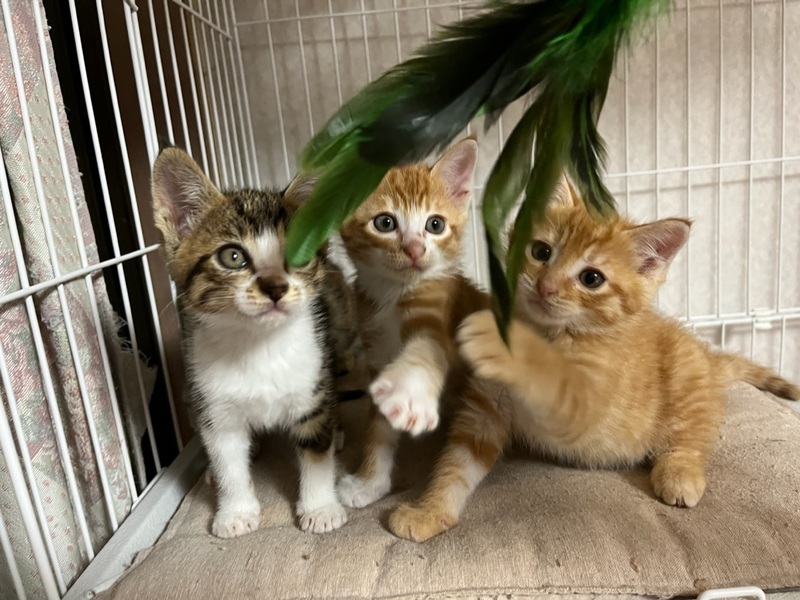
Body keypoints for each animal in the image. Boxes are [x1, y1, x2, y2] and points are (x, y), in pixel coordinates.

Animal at [151, 147, 358, 537]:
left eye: (299, 253)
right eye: (232, 256)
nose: (275, 287)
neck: (258, 345)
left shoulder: (311, 388)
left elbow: (316, 453)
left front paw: (321, 507)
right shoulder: (213, 403)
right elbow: (228, 460)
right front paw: (234, 512)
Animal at [334, 138, 490, 509]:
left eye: (435, 225)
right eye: (385, 223)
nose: (415, 250)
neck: (393, 294)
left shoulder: (437, 312)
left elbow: (426, 349)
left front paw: (410, 392)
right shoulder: (375, 353)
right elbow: (378, 428)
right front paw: (369, 483)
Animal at [387, 174, 800, 542]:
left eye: (592, 278)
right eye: (541, 252)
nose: (546, 286)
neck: (553, 334)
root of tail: (707, 357)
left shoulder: (585, 407)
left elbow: (551, 377)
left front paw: (503, 344)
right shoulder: (484, 410)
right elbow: (456, 462)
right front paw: (429, 510)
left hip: (687, 380)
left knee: (693, 435)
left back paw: (680, 472)